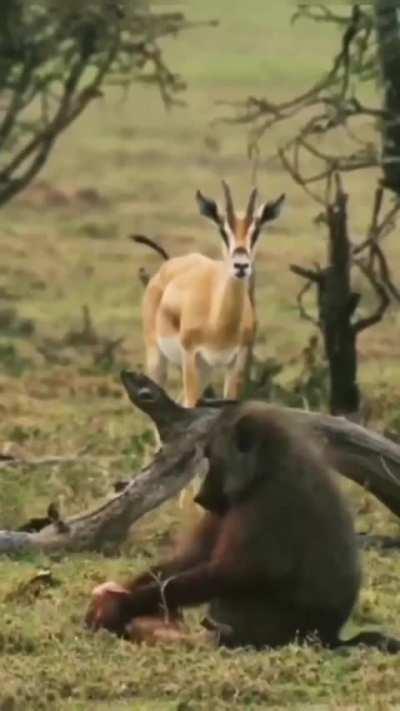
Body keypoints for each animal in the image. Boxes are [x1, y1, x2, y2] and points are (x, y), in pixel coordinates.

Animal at [85, 401, 400, 653]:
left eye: (211, 457)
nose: (200, 496)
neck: (266, 467)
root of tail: (331, 637)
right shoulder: (227, 505)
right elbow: (193, 558)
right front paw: (115, 594)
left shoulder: (268, 500)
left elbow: (234, 572)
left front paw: (120, 606)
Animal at [139, 182, 285, 408]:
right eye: (223, 231)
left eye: (256, 232)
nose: (241, 265)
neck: (218, 322)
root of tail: (166, 267)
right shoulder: (191, 357)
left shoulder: (237, 363)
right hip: (158, 358)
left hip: (206, 371)